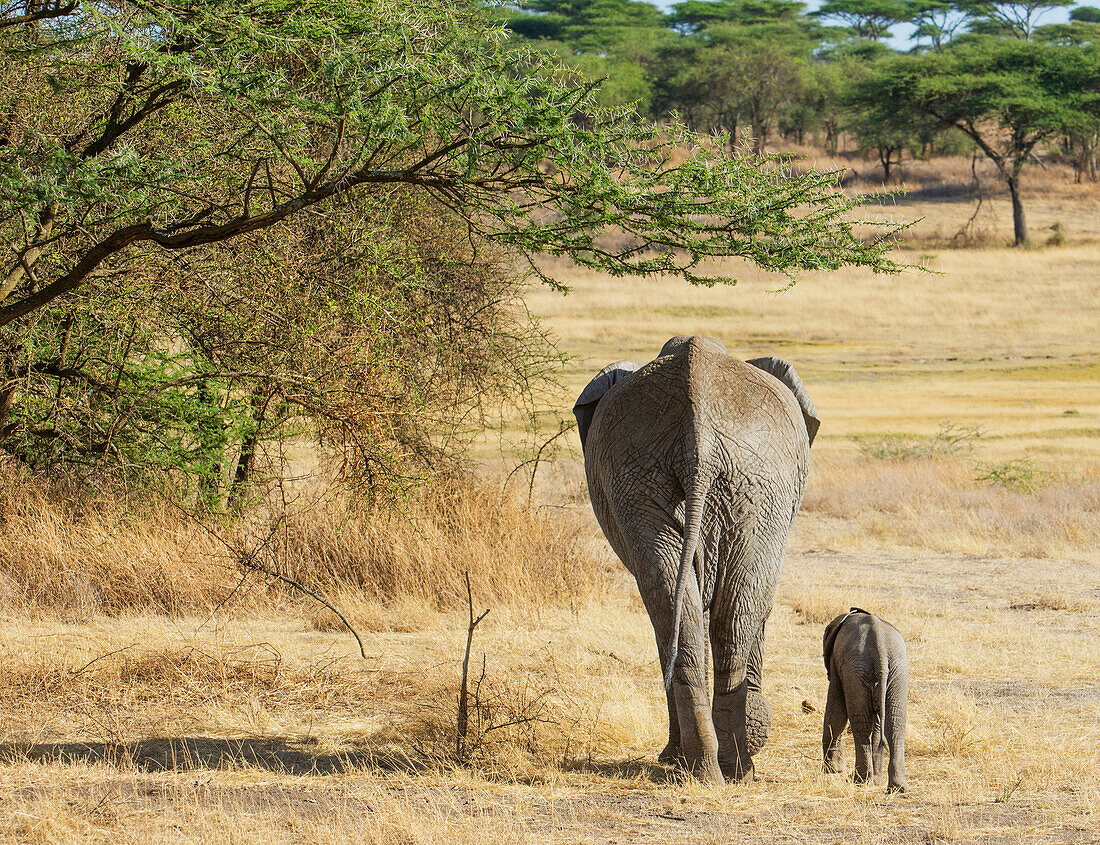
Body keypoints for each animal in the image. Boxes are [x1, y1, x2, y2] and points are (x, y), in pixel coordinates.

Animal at [576, 336, 818, 783]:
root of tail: (698, 436)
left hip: (715, 480)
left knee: (686, 603)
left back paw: (711, 768)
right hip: (733, 482)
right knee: (724, 608)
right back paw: (726, 768)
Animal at [822, 607, 906, 792]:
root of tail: (880, 648)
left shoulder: (836, 663)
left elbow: (836, 712)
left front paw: (832, 771)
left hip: (857, 670)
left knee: (861, 724)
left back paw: (860, 780)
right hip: (897, 670)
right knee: (895, 723)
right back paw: (895, 787)